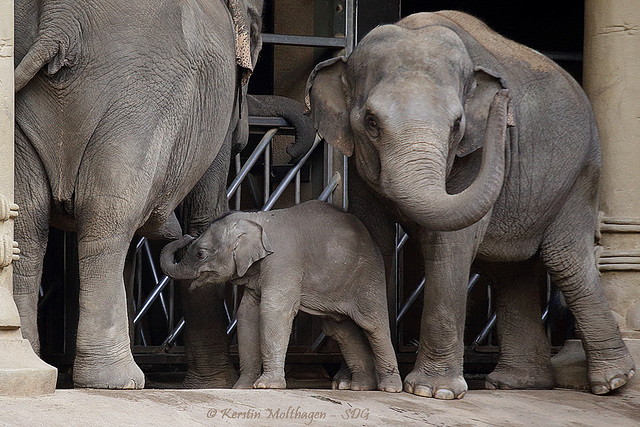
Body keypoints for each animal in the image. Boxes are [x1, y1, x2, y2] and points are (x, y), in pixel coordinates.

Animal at [15, 0, 264, 390]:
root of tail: (61, 19)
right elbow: (205, 214)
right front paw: (217, 384)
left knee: (30, 219)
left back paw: (40, 365)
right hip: (140, 99)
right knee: (108, 216)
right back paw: (118, 380)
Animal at [161, 201, 400, 394]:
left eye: (200, 254)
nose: (186, 235)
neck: (257, 219)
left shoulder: (283, 261)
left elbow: (273, 310)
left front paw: (267, 386)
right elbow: (247, 314)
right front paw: (241, 387)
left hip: (367, 275)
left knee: (373, 324)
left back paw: (388, 388)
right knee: (342, 330)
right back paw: (360, 387)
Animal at [306, 12, 636, 402]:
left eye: (457, 125)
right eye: (371, 122)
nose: (505, 103)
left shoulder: (473, 155)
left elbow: (450, 245)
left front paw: (432, 392)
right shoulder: (357, 161)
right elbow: (374, 239)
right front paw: (352, 384)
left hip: (581, 175)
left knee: (564, 259)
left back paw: (612, 382)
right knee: (509, 272)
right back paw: (518, 383)